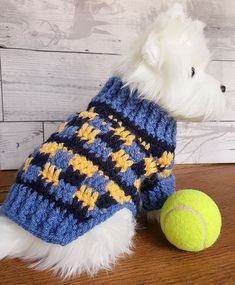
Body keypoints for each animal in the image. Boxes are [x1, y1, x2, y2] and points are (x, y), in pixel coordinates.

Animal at [0, 3, 227, 278]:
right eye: (192, 71)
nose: (225, 88)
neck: (142, 101)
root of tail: (21, 235)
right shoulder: (160, 169)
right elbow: (160, 193)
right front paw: (160, 211)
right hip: (116, 219)